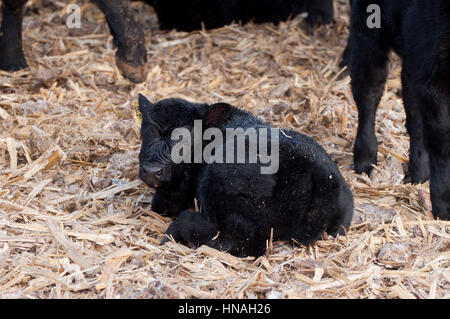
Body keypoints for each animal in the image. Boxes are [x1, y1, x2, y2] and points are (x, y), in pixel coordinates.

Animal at [346, 0, 448, 220]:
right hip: (368, 27)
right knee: (368, 91)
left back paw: (419, 173)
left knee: (413, 114)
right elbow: (442, 141)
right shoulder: (432, 74)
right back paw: (365, 161)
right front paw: (444, 204)